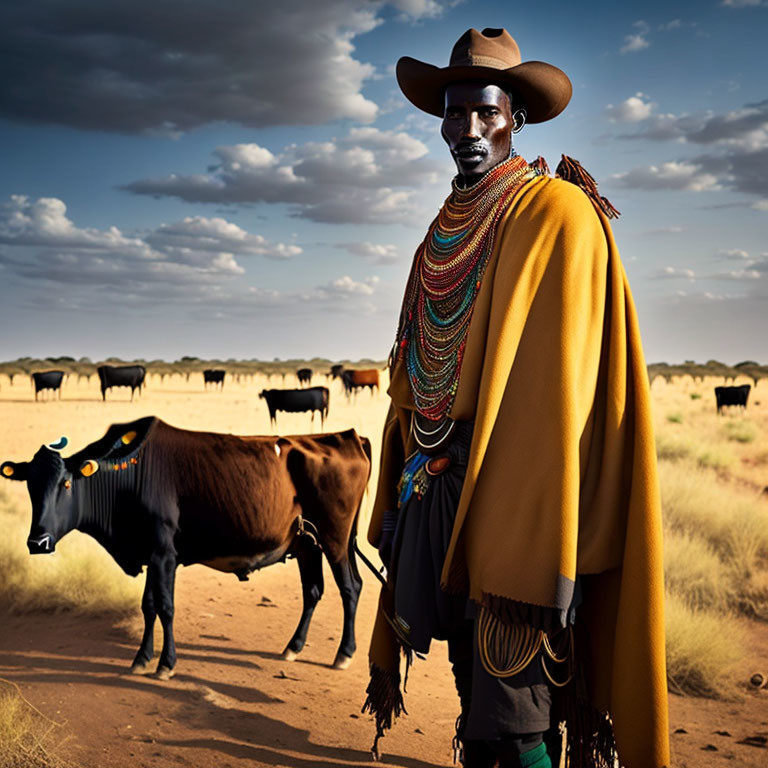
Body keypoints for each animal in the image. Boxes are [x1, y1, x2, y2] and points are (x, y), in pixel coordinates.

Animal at [0, 416, 372, 680]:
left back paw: (344, 654)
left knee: (350, 587)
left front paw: (166, 664)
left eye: (65, 484)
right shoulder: (151, 555)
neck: (127, 474)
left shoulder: (164, 555)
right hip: (308, 543)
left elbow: (166, 607)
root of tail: (350, 437)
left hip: (336, 540)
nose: (38, 542)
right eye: (30, 485)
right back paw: (292, 647)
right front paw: (141, 658)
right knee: (313, 591)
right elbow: (148, 605)